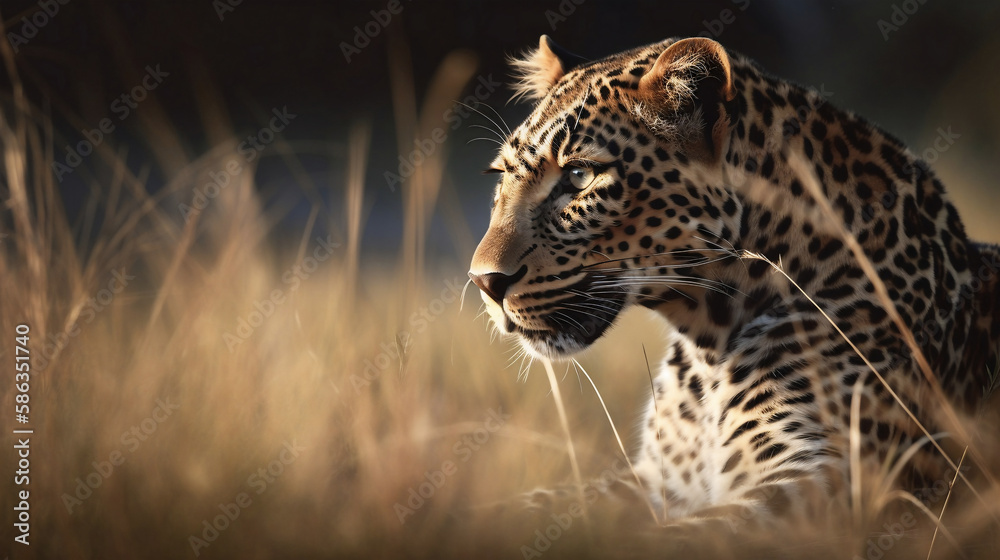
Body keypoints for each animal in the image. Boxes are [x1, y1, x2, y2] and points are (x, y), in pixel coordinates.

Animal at [467, 35, 1000, 546]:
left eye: (579, 176)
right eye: (502, 177)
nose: (484, 282)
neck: (707, 342)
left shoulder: (819, 487)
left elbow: (670, 541)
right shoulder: (656, 482)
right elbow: (537, 505)